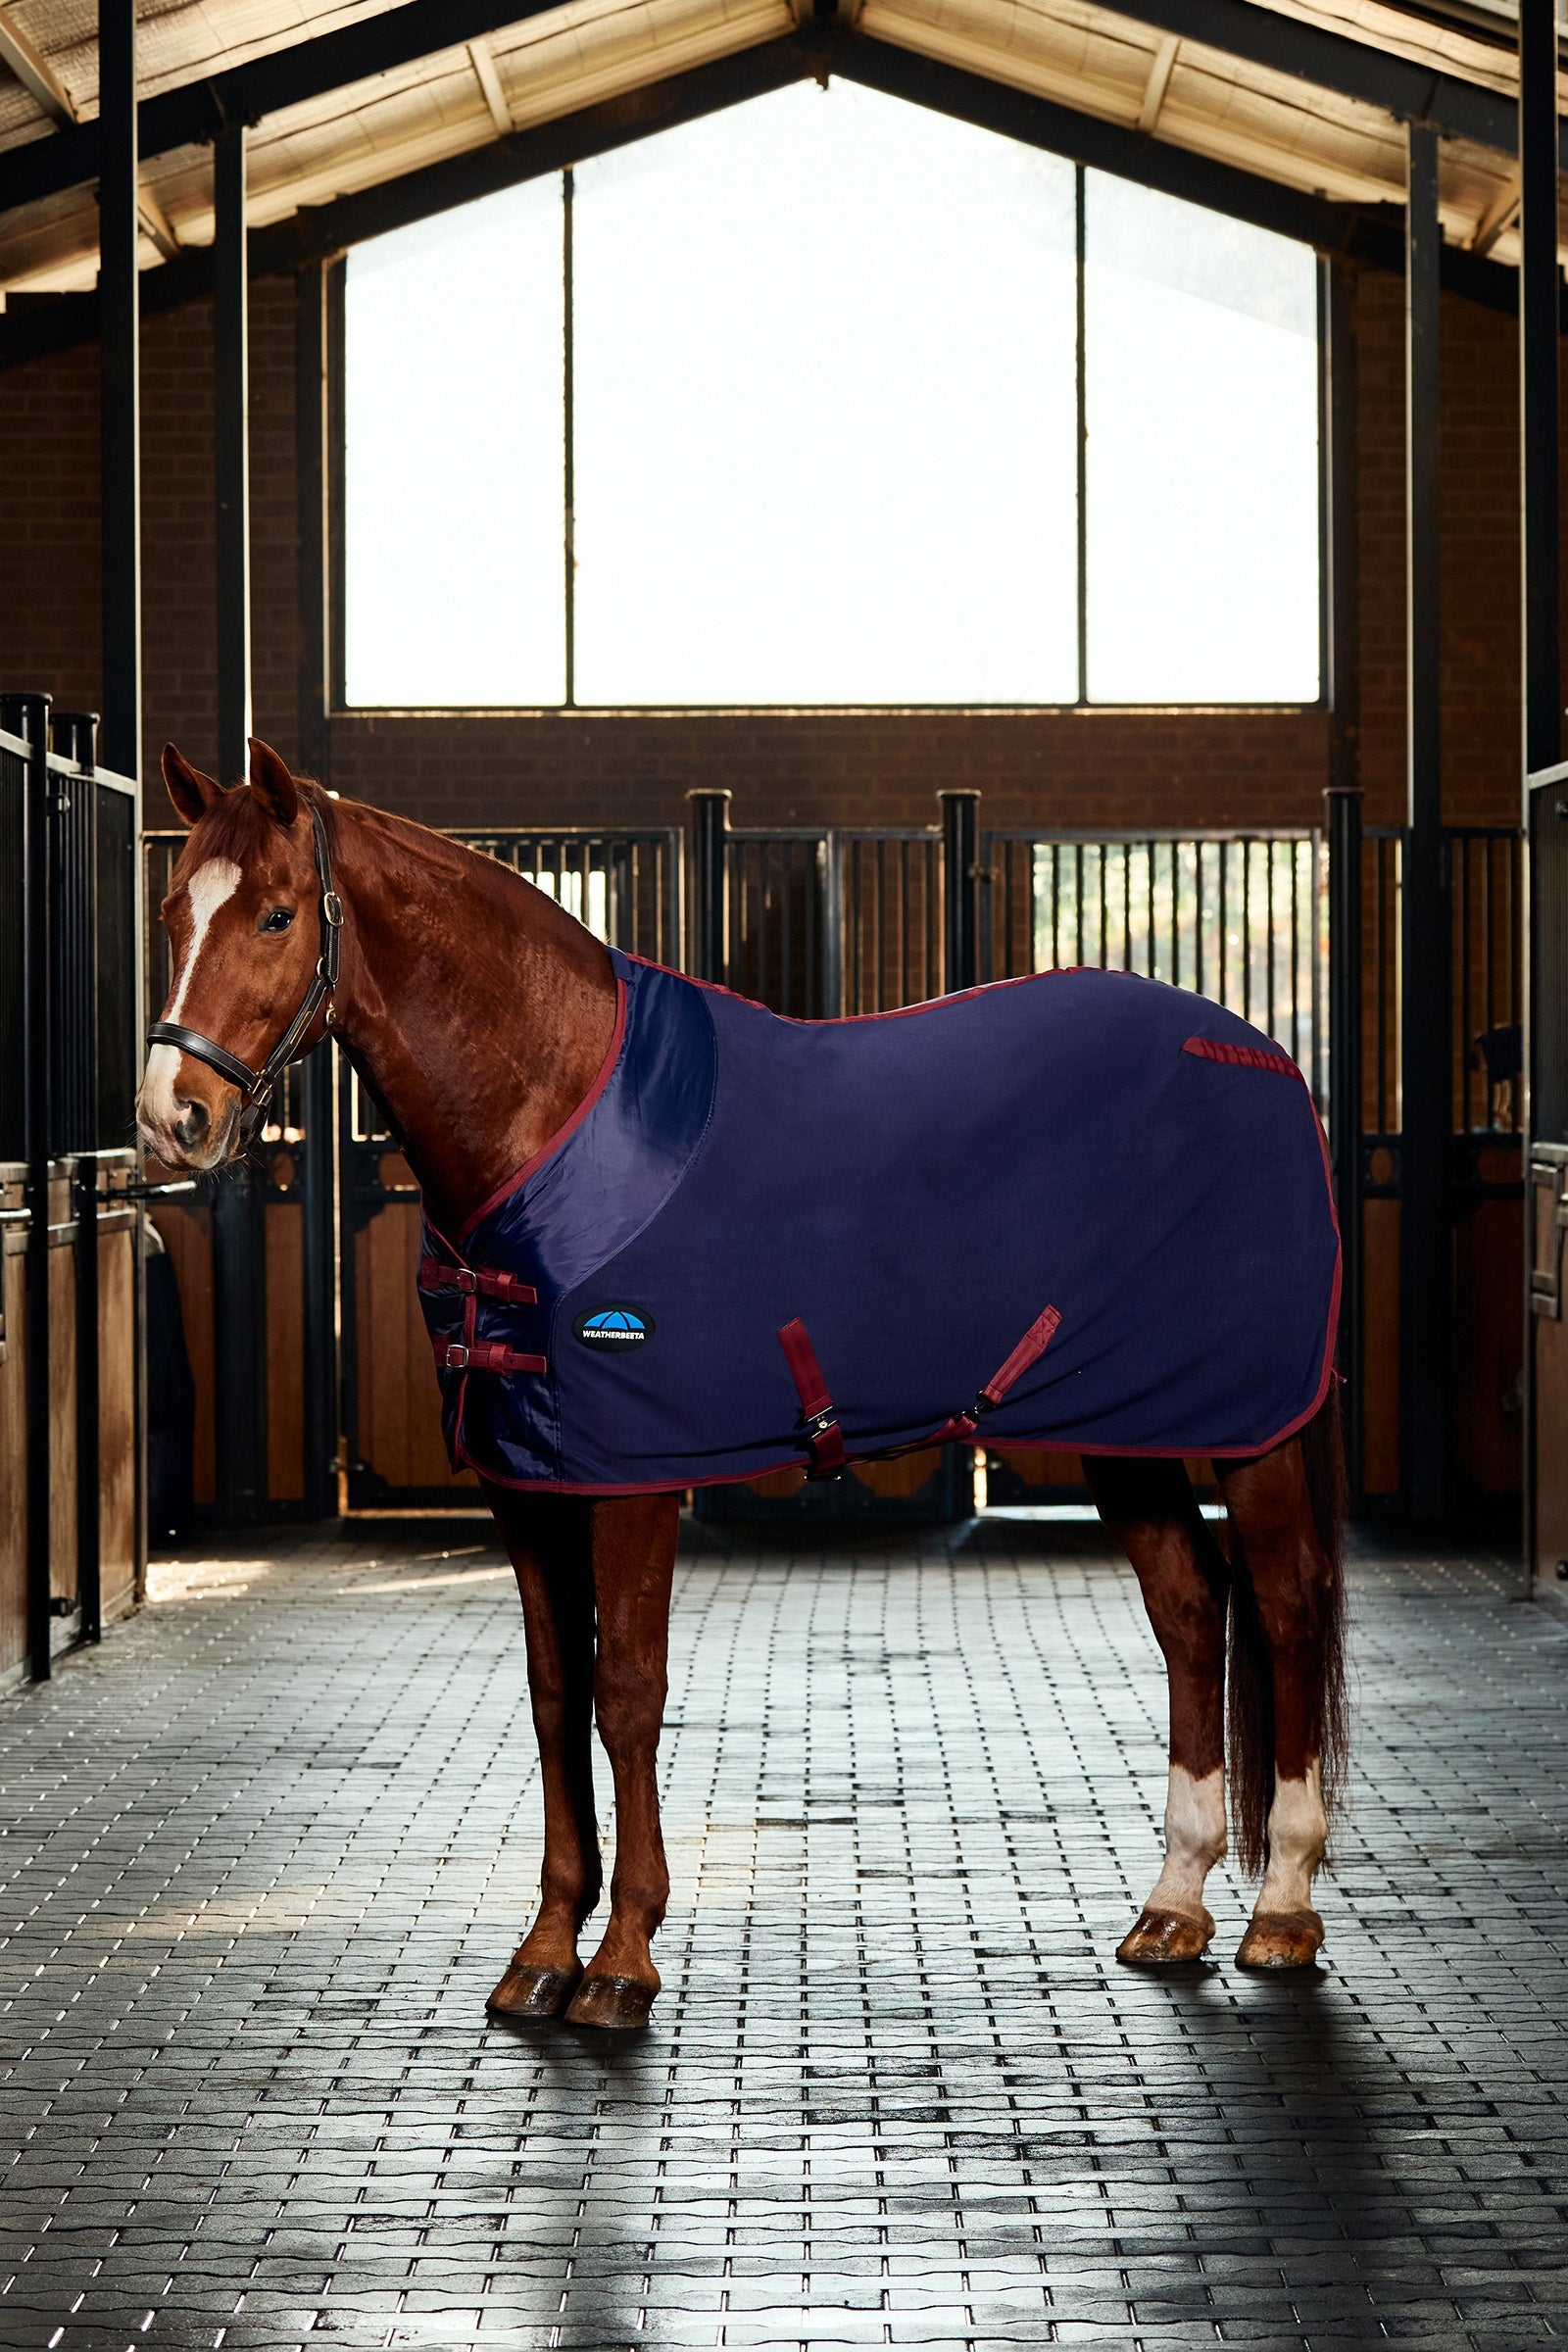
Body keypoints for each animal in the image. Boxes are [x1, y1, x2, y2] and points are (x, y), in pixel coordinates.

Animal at [137, 739, 1348, 2032]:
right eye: (170, 912)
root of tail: (1265, 1059)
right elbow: (554, 1693)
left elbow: (625, 1691)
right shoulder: (525, 1481)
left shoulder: (630, 1478)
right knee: (1190, 1609)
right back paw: (1172, 1909)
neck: (553, 1116)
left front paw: (621, 1959)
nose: (173, 1119)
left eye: (275, 914)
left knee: (1283, 1604)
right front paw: (543, 1949)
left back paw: (1281, 1911)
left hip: (1250, 1427)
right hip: (1129, 1428)